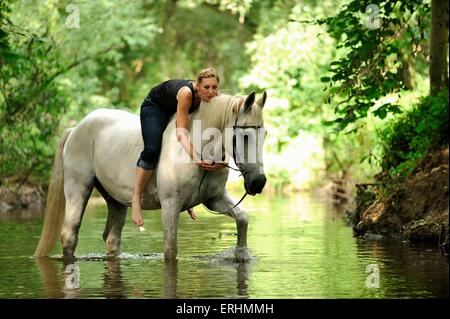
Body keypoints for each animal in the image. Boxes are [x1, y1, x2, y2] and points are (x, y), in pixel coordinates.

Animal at [36, 91, 268, 262]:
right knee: (70, 235)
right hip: (78, 190)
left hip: (115, 200)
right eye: (245, 136)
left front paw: (241, 254)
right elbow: (170, 249)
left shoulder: (214, 199)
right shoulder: (170, 204)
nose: (259, 182)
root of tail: (75, 129)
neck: (195, 149)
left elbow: (242, 219)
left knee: (112, 239)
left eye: (264, 134)